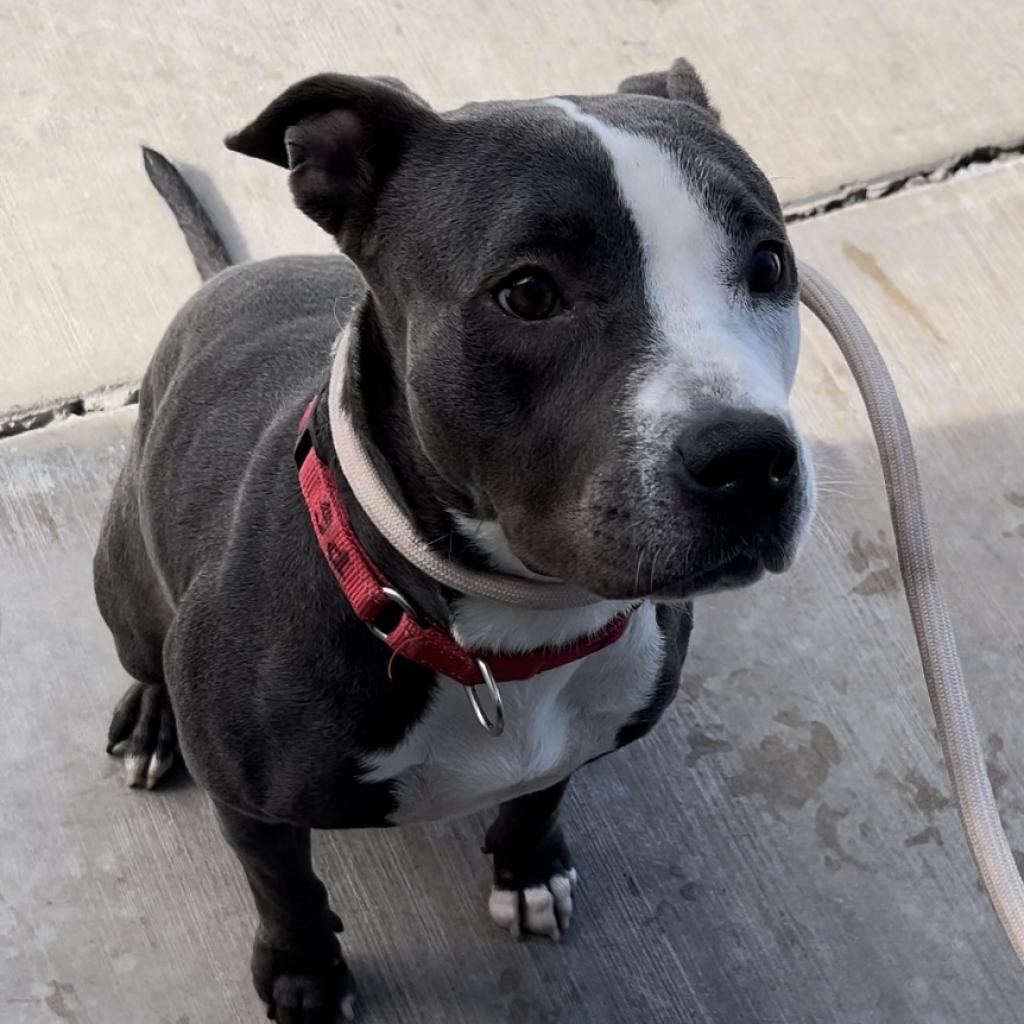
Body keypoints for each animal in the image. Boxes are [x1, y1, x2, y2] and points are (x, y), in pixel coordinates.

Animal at [96, 58, 815, 1024]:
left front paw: (529, 869)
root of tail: (224, 279)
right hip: (127, 585)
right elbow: (287, 891)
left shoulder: (574, 736)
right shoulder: (251, 806)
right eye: (529, 292)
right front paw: (305, 978)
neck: (510, 634)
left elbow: (543, 794)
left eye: (769, 262)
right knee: (145, 650)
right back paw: (150, 719)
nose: (749, 458)